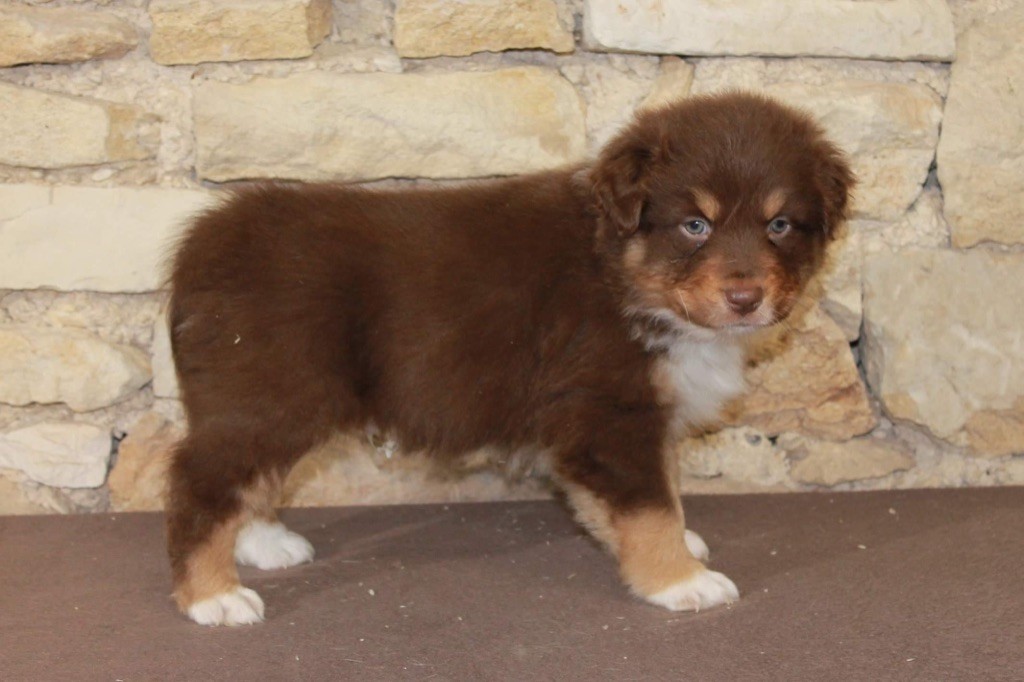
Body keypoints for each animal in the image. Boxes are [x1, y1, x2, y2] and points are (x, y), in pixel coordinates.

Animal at [165, 92, 853, 626]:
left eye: (780, 225)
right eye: (694, 226)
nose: (745, 299)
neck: (623, 273)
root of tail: (205, 242)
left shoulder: (637, 418)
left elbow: (660, 488)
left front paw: (675, 544)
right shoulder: (606, 412)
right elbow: (649, 502)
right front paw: (679, 579)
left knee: (246, 478)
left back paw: (261, 542)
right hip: (272, 392)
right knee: (200, 478)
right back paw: (212, 597)